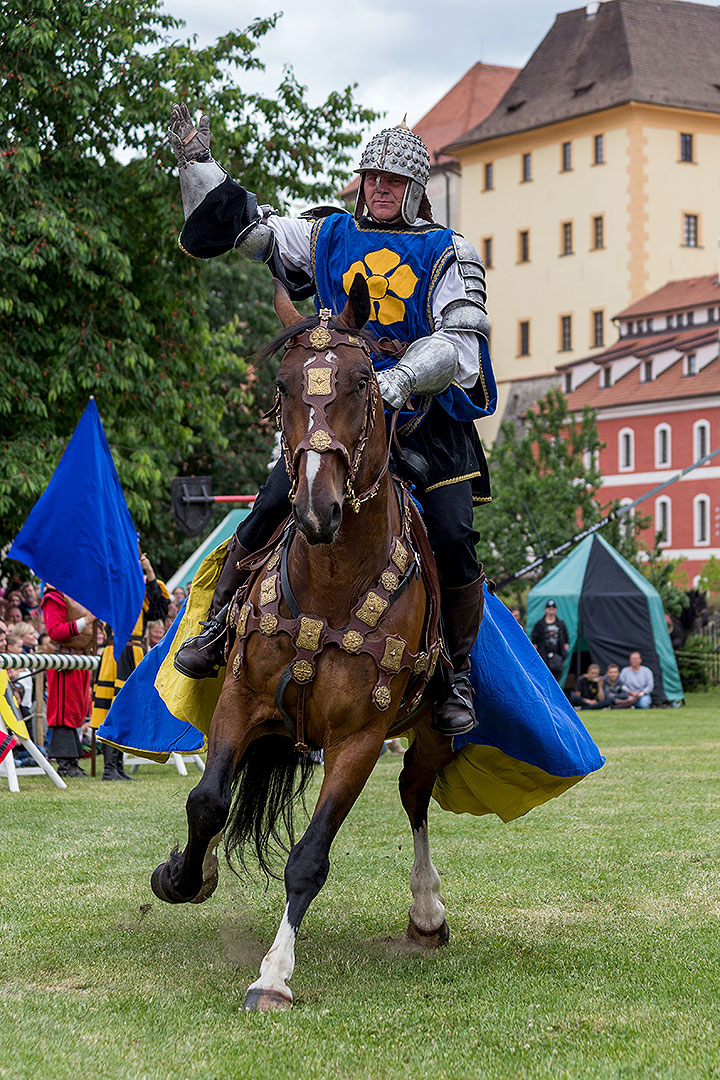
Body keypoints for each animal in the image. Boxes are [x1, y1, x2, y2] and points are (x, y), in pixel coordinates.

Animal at [151, 274, 455, 1006]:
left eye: (364, 382)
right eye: (284, 385)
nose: (318, 508)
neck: (329, 587)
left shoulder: (358, 741)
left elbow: (309, 858)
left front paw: (273, 975)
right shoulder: (241, 698)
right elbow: (207, 802)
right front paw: (182, 877)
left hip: (431, 726)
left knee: (415, 793)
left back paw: (427, 910)